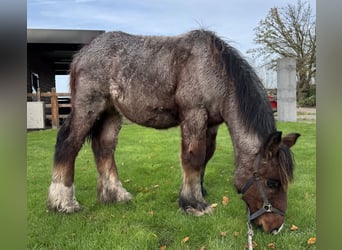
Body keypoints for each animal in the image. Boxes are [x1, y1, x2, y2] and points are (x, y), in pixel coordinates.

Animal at [47, 29, 300, 234]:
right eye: (272, 183)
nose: (275, 227)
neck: (213, 70)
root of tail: (82, 54)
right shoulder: (194, 115)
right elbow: (193, 158)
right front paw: (194, 205)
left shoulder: (211, 125)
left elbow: (205, 158)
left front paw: (197, 193)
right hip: (88, 107)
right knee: (68, 143)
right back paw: (63, 203)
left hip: (111, 112)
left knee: (104, 148)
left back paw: (116, 195)